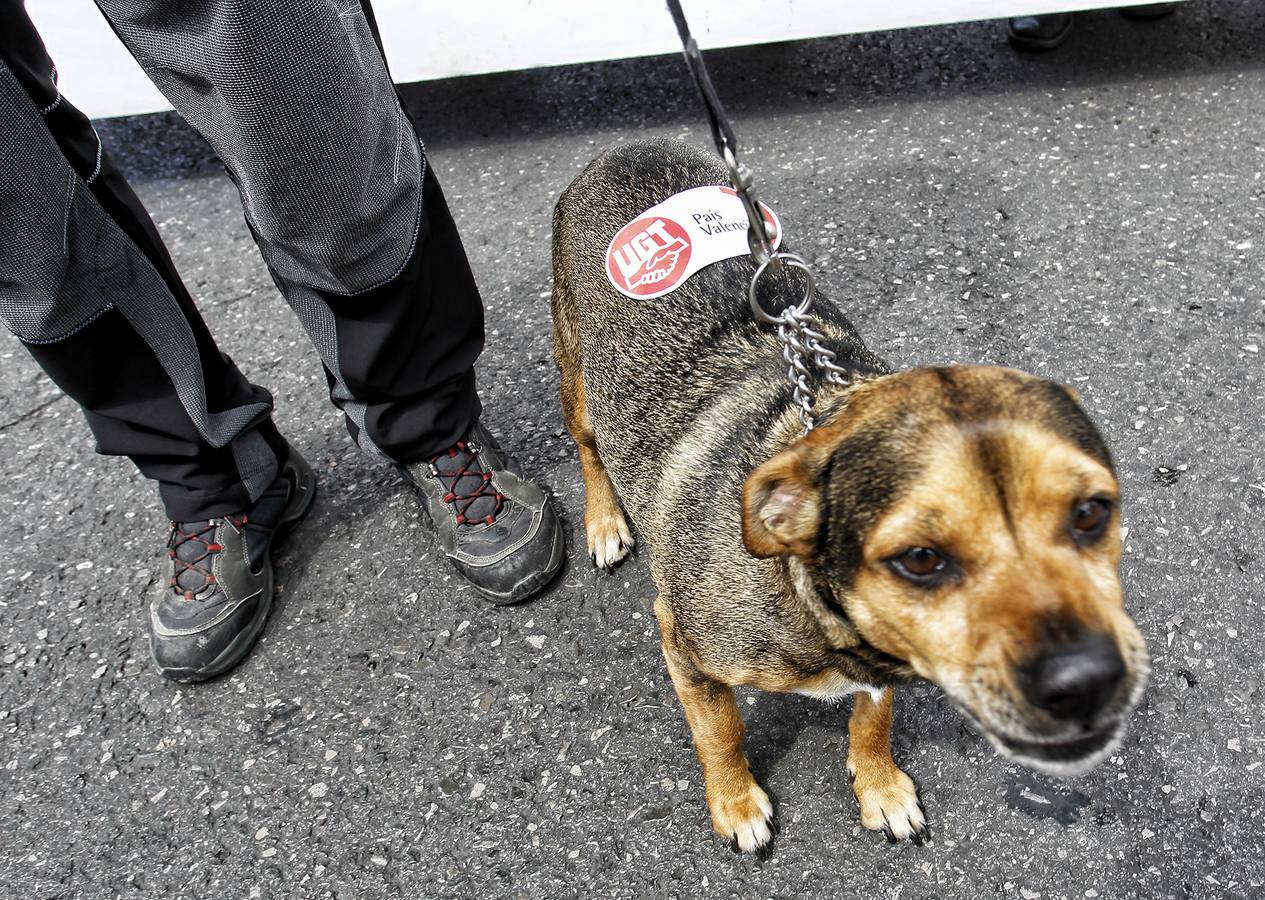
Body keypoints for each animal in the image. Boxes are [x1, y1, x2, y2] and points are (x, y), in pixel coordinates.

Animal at [549, 139, 1153, 850]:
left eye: (1092, 513)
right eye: (920, 559)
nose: (1087, 681)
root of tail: (629, 147)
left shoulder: (882, 662)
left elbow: (873, 718)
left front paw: (881, 786)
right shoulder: (685, 646)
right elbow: (718, 731)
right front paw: (735, 803)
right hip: (575, 368)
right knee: (588, 445)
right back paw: (604, 521)